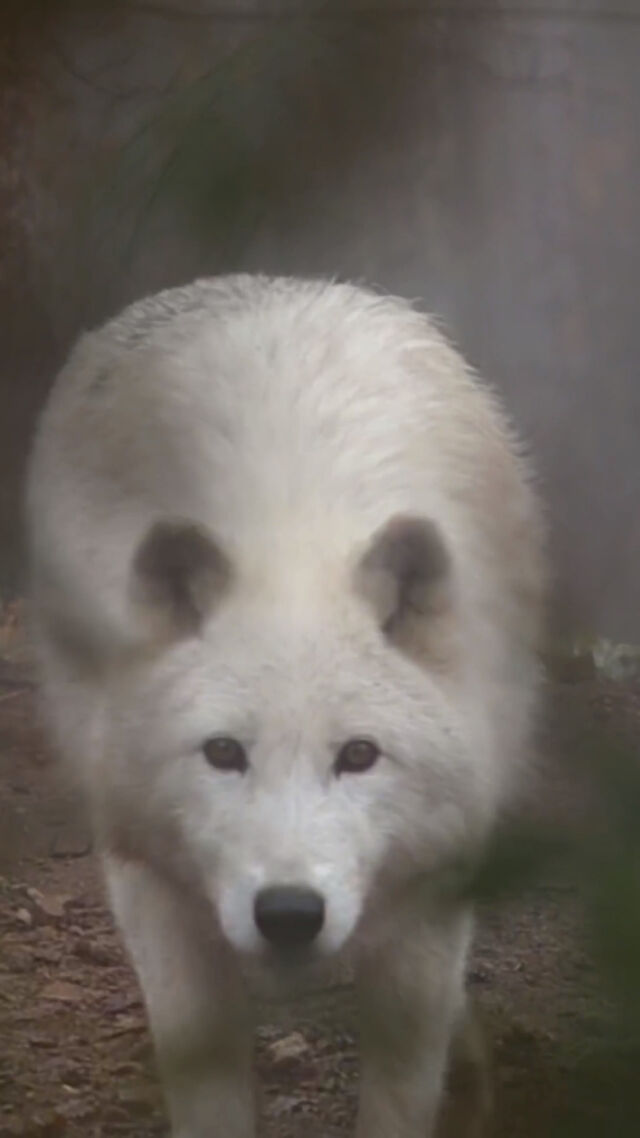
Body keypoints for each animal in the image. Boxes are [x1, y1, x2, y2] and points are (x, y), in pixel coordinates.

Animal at [26, 275, 546, 1137]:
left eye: (359, 754)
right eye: (223, 752)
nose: (291, 913)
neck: (291, 545)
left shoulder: (428, 916)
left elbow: (401, 1096)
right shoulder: (153, 895)